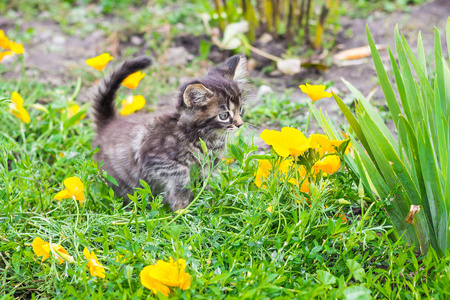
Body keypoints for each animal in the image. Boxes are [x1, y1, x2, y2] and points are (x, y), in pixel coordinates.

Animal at [90, 54, 246, 210]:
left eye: (241, 109)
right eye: (224, 115)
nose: (240, 124)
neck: (203, 137)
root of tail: (108, 123)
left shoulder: (209, 165)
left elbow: (205, 184)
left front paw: (205, 204)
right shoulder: (159, 160)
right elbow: (181, 180)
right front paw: (183, 209)